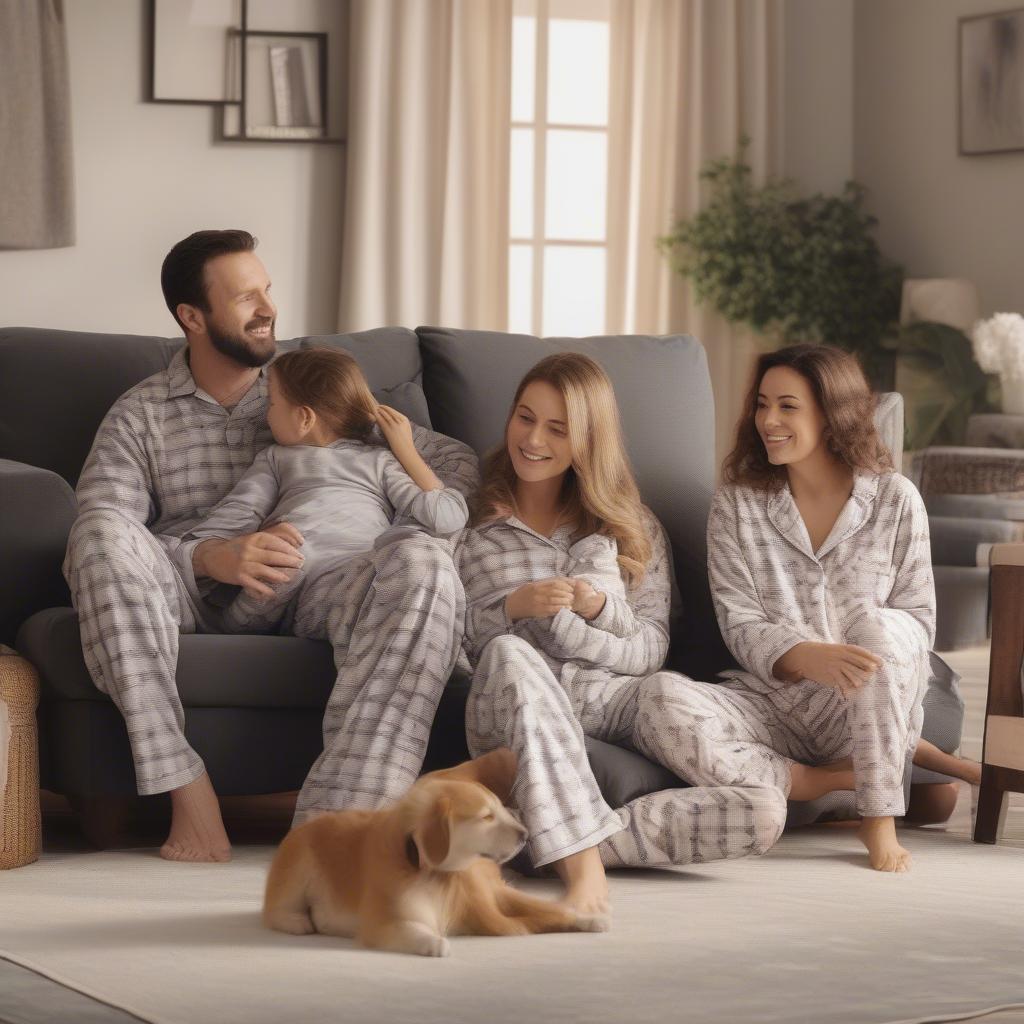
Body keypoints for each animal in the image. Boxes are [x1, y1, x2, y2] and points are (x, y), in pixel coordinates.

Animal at [262, 749, 606, 954]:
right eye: (486, 816)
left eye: (500, 808)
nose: (526, 835)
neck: (441, 875)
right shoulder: (383, 921)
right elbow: (411, 931)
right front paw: (433, 941)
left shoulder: (497, 892)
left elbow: (550, 909)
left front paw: (587, 918)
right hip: (296, 870)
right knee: (275, 911)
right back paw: (299, 922)